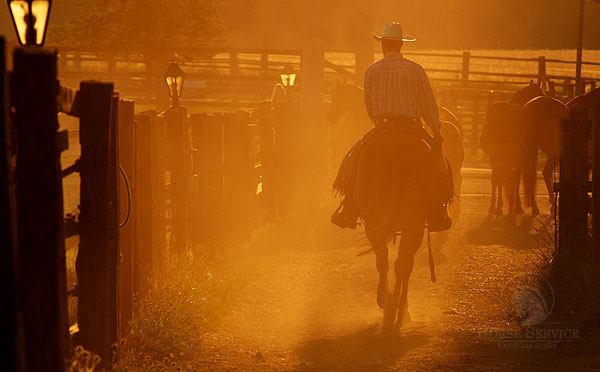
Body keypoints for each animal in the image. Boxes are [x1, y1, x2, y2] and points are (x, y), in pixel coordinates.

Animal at [356, 131, 436, 328]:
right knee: (401, 264)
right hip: (413, 227)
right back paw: (398, 307)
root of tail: (396, 146)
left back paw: (386, 299)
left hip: (376, 221)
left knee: (384, 260)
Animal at [480, 81, 548, 215]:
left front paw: (518, 206)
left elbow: (517, 180)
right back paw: (496, 206)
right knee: (498, 179)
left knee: (501, 178)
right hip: (499, 157)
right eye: (540, 94)